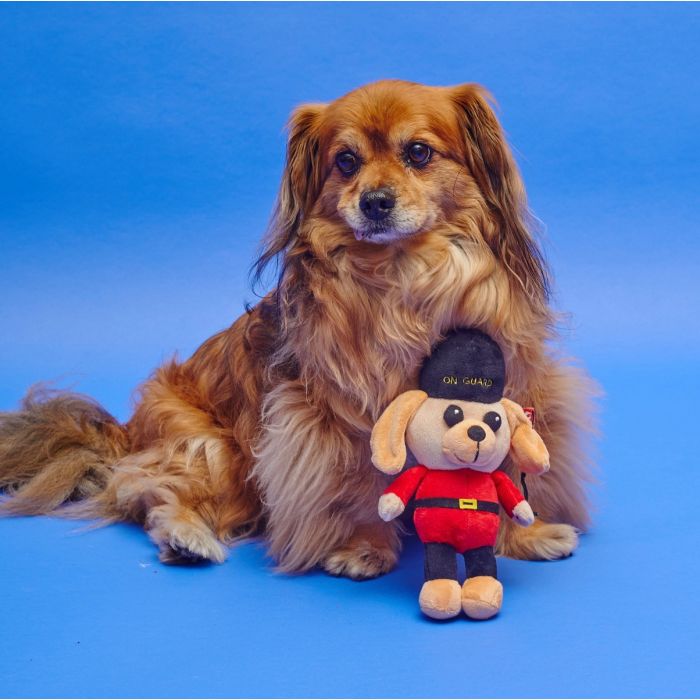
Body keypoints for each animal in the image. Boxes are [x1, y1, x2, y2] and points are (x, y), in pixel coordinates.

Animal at [0, 80, 596, 580]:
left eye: (418, 152)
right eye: (346, 161)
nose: (374, 202)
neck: (402, 280)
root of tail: (126, 431)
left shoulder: (513, 384)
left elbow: (508, 470)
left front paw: (524, 535)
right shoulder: (333, 416)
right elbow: (355, 482)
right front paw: (362, 547)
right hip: (213, 450)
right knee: (143, 488)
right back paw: (185, 537)